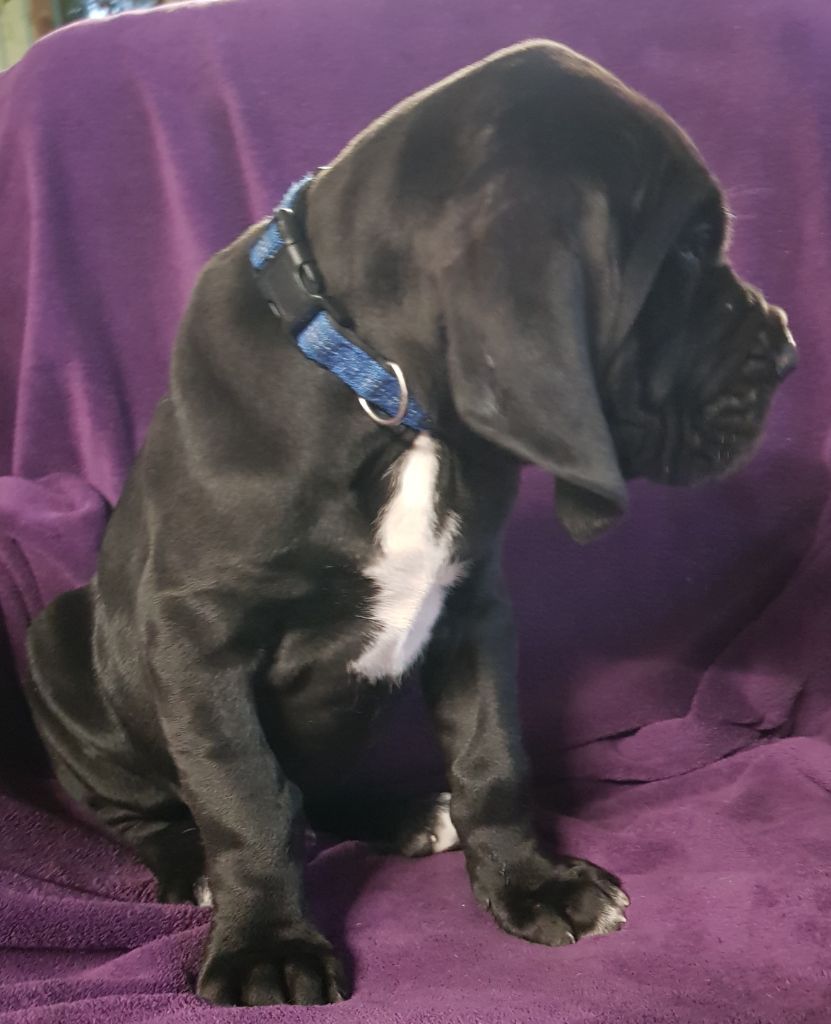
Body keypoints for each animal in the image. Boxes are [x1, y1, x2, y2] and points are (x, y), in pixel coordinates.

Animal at [23, 40, 796, 1006]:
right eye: (685, 254)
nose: (788, 350)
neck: (389, 399)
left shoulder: (472, 612)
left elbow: (492, 758)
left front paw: (529, 883)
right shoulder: (200, 641)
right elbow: (244, 795)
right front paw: (265, 944)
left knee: (316, 796)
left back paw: (401, 815)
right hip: (60, 650)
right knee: (158, 810)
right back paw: (187, 863)